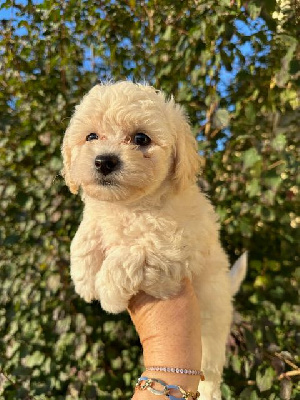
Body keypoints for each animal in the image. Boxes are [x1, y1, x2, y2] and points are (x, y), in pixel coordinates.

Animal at [61, 82, 246, 400]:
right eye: (91, 136)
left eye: (140, 138)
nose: (104, 160)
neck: (130, 206)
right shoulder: (100, 215)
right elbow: (87, 231)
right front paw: (83, 277)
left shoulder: (172, 251)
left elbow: (128, 256)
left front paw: (108, 292)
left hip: (211, 338)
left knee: (210, 375)